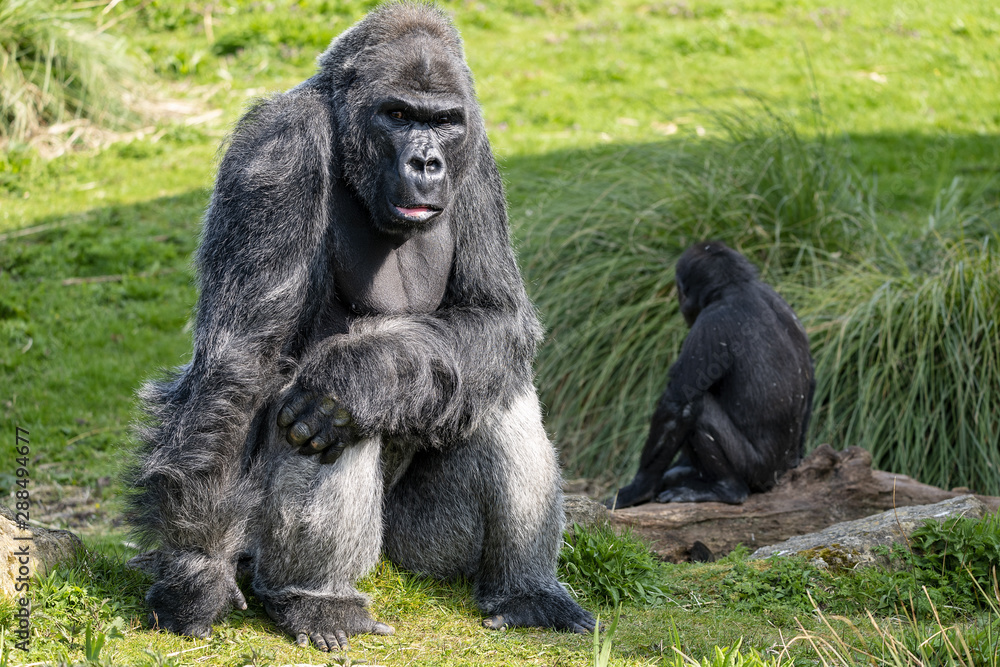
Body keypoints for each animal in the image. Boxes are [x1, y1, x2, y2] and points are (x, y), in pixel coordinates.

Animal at [125, 2, 592, 648]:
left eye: (443, 121)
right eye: (398, 115)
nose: (427, 161)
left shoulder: (478, 161)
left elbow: (495, 317)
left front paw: (362, 372)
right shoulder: (279, 150)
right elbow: (243, 362)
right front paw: (195, 577)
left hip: (417, 550)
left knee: (490, 384)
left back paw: (524, 591)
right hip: (268, 547)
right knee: (314, 414)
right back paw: (316, 600)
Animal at [608, 243, 812, 508]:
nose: (680, 299)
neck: (735, 286)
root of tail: (777, 476)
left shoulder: (711, 324)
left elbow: (678, 403)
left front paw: (638, 488)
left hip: (756, 470)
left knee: (699, 407)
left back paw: (727, 488)